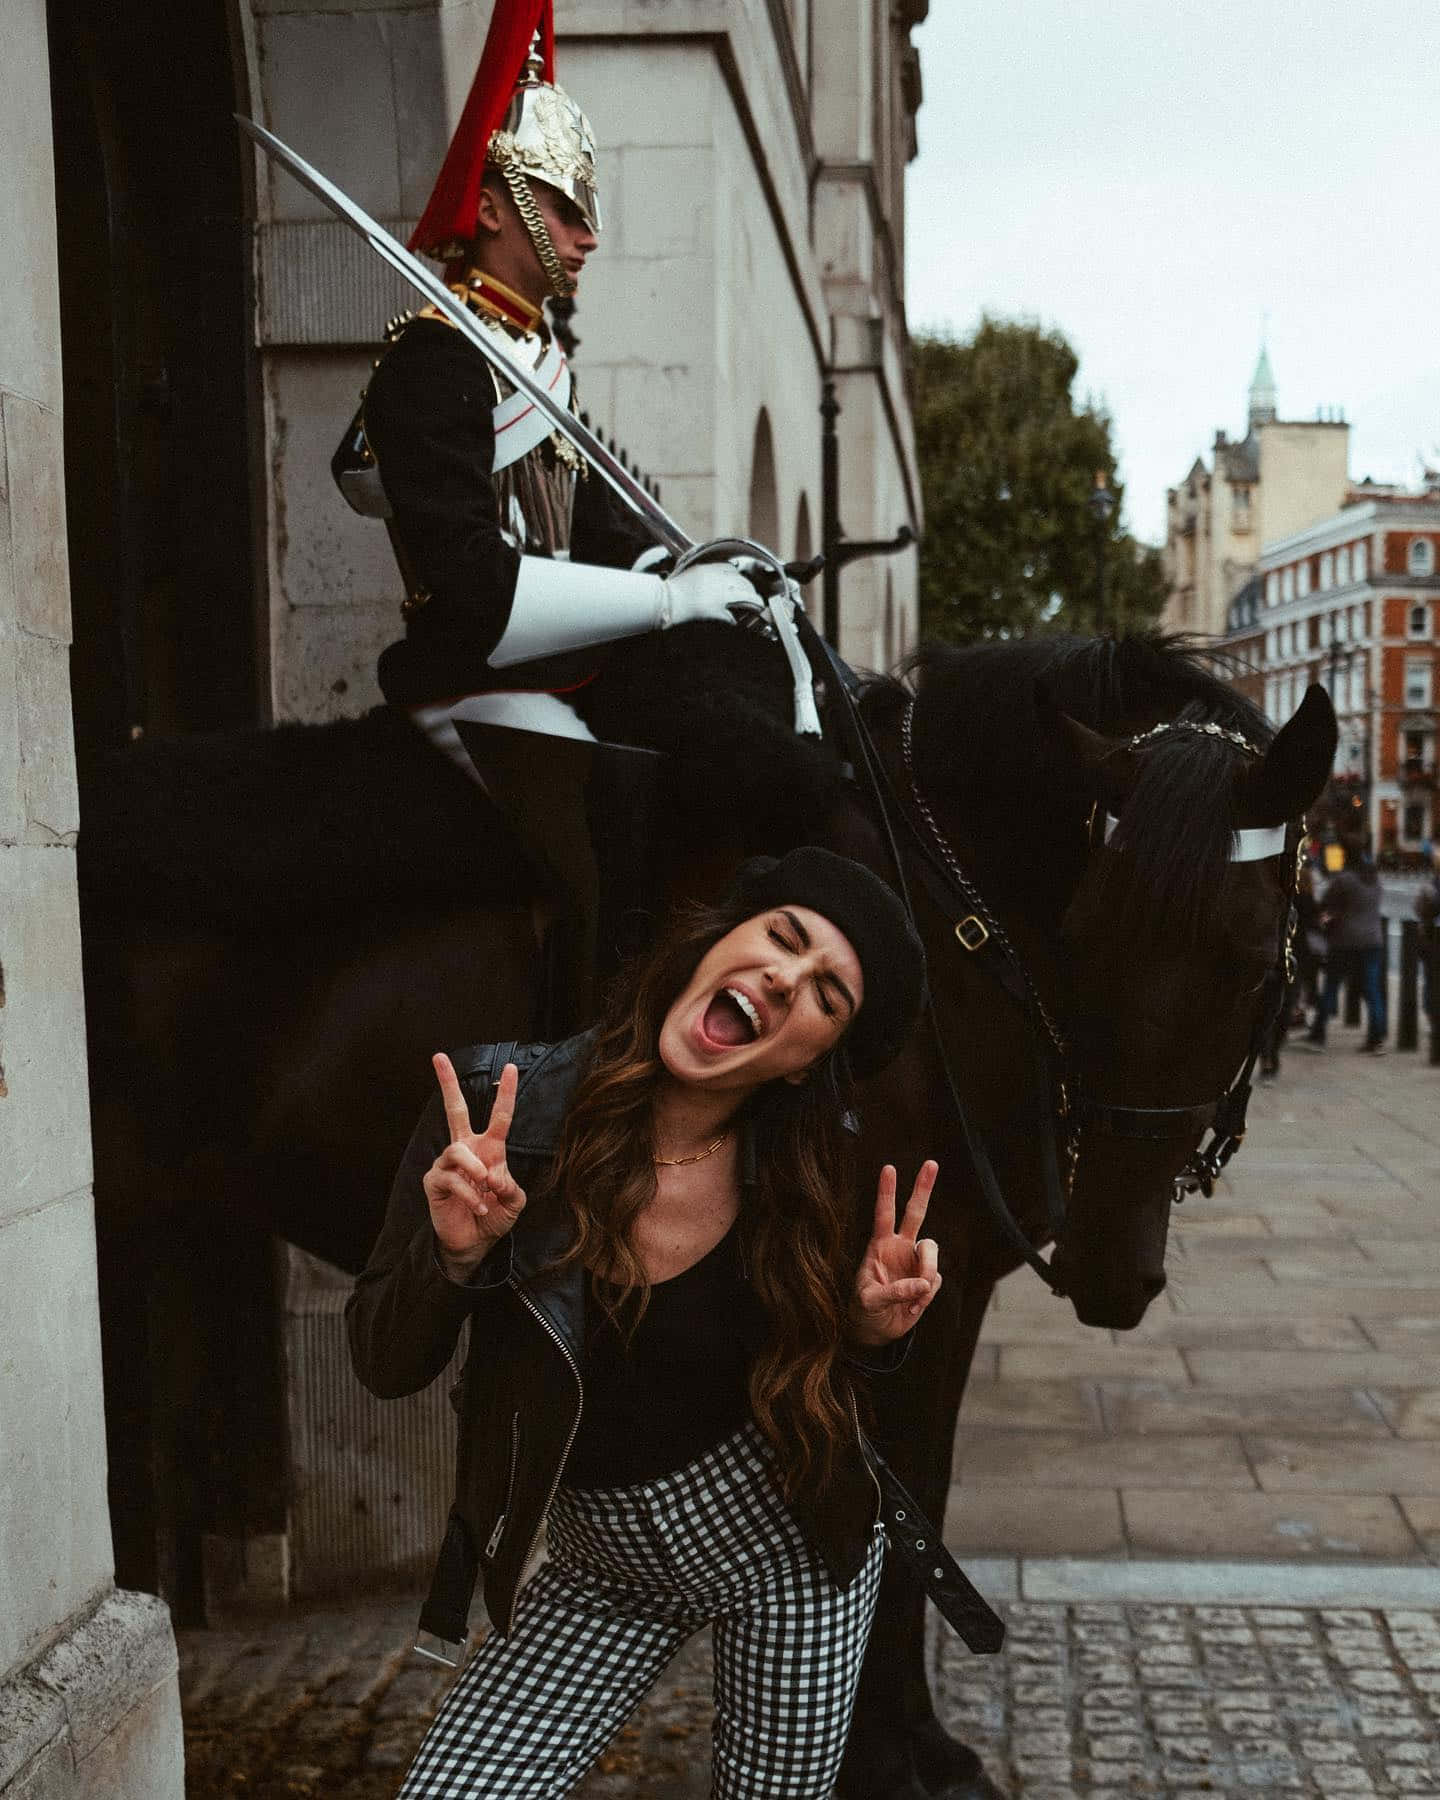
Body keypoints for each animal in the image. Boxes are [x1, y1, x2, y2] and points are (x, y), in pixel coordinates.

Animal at [81, 626, 1339, 1792]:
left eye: (1245, 958)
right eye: (1082, 937)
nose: (1108, 1265)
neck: (947, 941)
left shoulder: (943, 1284)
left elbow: (911, 1495)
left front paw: (904, 1739)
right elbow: (890, 1501)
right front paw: (894, 1753)